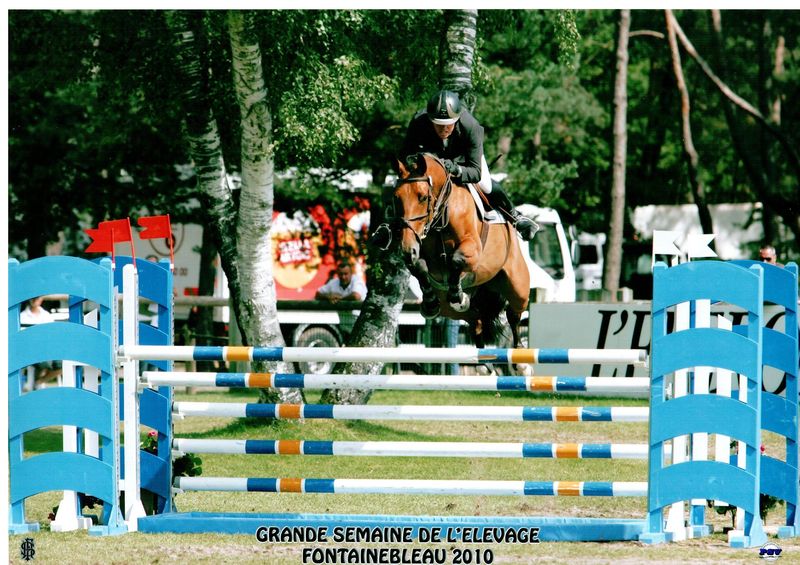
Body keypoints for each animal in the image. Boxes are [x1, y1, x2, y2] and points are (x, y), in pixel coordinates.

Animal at [390, 152, 532, 350]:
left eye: (423, 197)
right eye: (396, 198)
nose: (406, 249)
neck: (442, 214)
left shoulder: (473, 249)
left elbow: (456, 260)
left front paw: (456, 292)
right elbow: (419, 266)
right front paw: (431, 302)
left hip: (518, 287)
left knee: (514, 315)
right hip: (454, 310)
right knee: (476, 321)